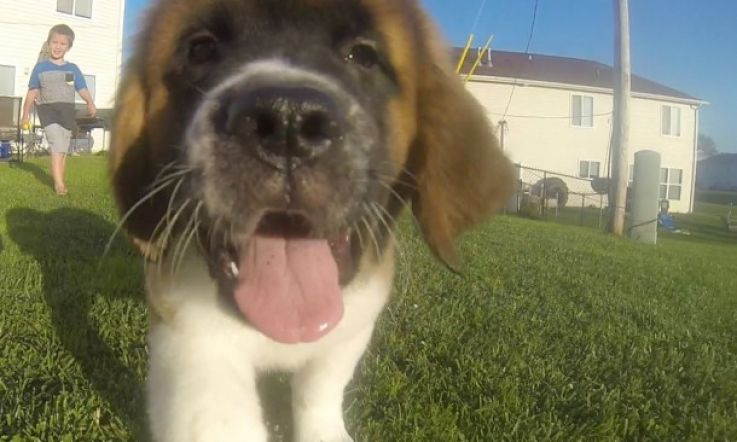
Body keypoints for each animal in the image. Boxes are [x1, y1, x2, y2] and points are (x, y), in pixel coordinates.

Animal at [110, 0, 512, 440]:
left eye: (364, 55)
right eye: (200, 48)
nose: (286, 122)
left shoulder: (354, 322)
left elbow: (319, 387)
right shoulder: (192, 336)